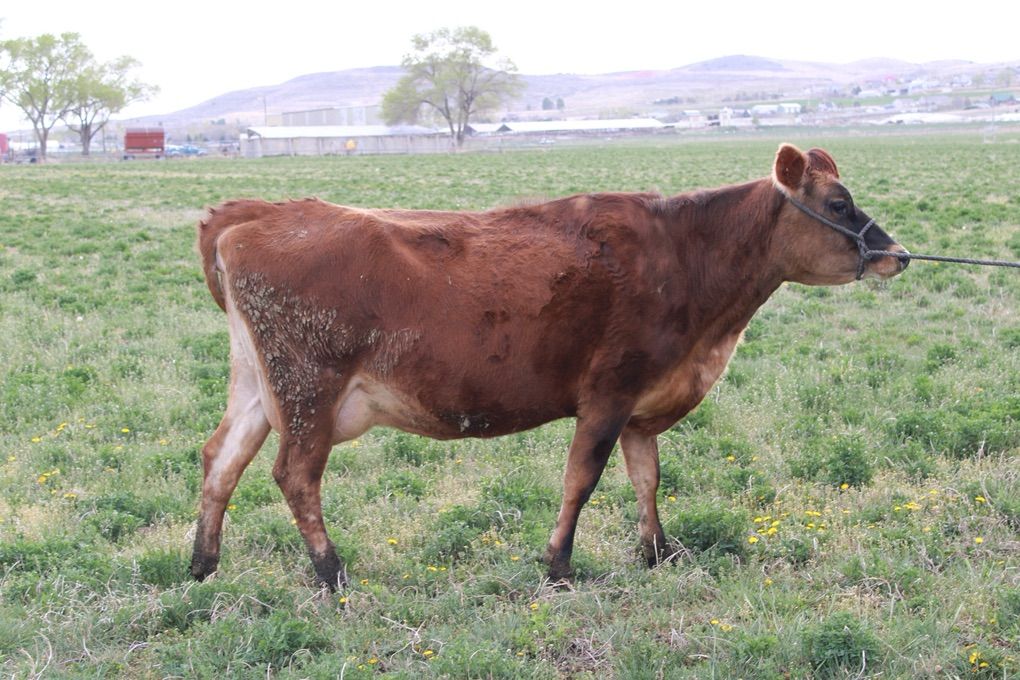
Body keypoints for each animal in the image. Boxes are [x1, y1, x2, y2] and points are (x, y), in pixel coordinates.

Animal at [190, 143, 908, 589]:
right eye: (838, 204)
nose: (897, 254)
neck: (687, 257)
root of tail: (254, 212)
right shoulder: (609, 392)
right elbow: (581, 480)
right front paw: (559, 566)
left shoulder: (642, 405)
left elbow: (646, 478)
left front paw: (658, 553)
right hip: (308, 388)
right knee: (294, 475)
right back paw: (332, 574)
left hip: (257, 385)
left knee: (221, 458)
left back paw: (202, 567)